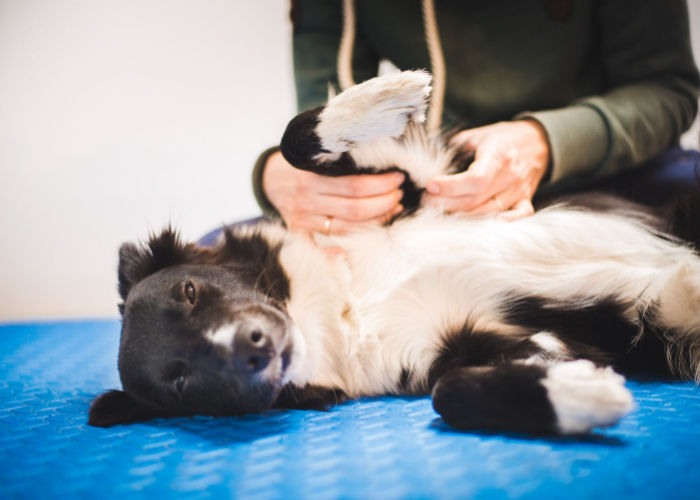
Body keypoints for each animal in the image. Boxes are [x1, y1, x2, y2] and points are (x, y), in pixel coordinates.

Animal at [90, 70, 700, 434]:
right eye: (181, 380)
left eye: (190, 291)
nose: (252, 347)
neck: (348, 300)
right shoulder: (495, 345)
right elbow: (450, 392)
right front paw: (575, 395)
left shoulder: (422, 183)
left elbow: (294, 141)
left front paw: (382, 97)